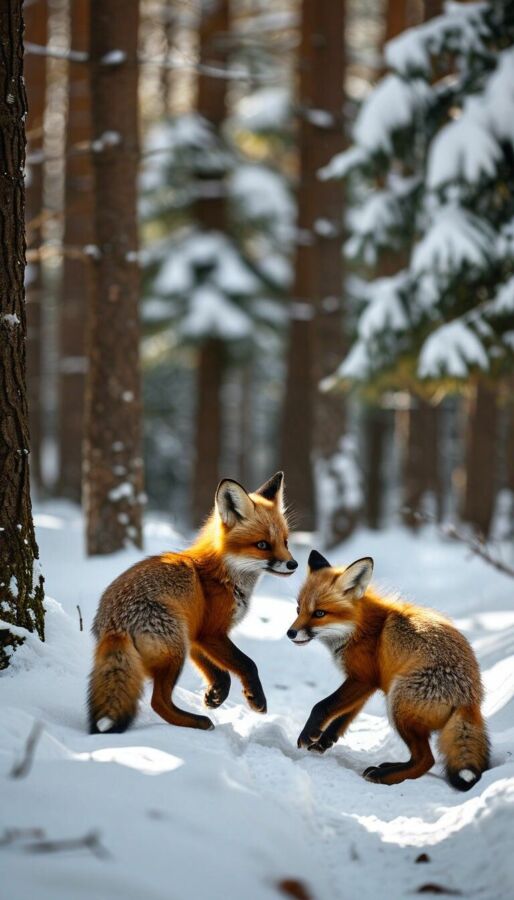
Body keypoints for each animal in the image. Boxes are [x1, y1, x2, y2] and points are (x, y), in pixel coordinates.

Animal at [88, 472, 297, 735]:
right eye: (262, 545)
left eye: (285, 542)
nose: (293, 564)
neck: (224, 574)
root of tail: (115, 623)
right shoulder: (212, 632)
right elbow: (247, 664)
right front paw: (255, 698)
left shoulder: (196, 634)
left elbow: (219, 672)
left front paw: (216, 694)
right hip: (175, 651)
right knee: (158, 701)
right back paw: (196, 722)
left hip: (178, 643)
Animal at [288, 550, 489, 791]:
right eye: (298, 609)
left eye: (319, 613)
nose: (290, 633)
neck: (359, 629)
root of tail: (471, 698)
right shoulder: (368, 682)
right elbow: (344, 716)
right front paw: (324, 740)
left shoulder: (362, 678)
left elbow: (323, 705)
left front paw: (309, 734)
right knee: (421, 758)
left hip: (397, 704)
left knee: (426, 760)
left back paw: (384, 776)